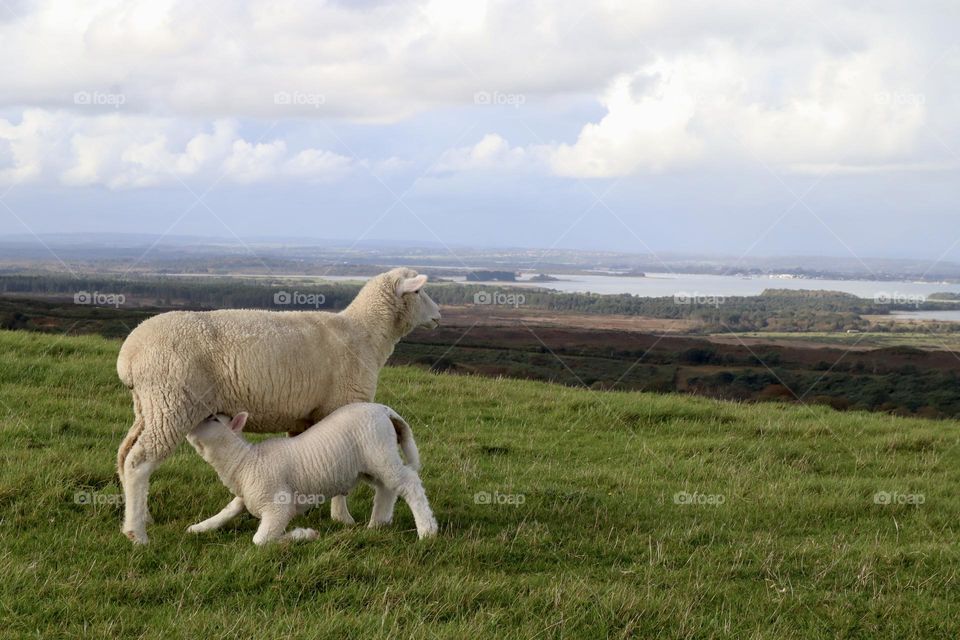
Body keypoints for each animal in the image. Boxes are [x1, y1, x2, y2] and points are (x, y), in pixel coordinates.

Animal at [184, 404, 437, 544]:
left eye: (213, 419)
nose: (189, 425)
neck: (244, 462)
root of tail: (384, 410)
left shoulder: (278, 506)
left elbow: (260, 540)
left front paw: (303, 535)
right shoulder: (247, 496)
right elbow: (228, 510)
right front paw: (199, 527)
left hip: (380, 452)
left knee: (409, 483)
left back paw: (427, 531)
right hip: (370, 464)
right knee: (387, 488)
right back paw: (377, 524)